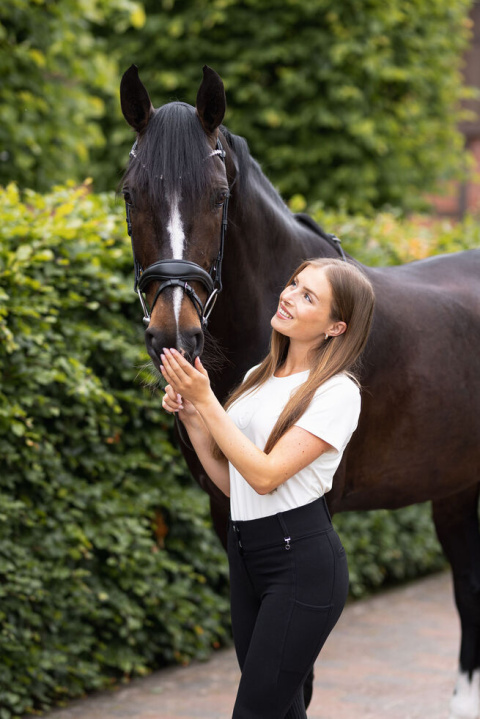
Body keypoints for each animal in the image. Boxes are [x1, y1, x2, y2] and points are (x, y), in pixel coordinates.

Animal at [119, 63, 480, 719]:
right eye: (131, 194)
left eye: (219, 196)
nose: (174, 335)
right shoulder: (224, 505)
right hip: (455, 485)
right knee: (468, 585)